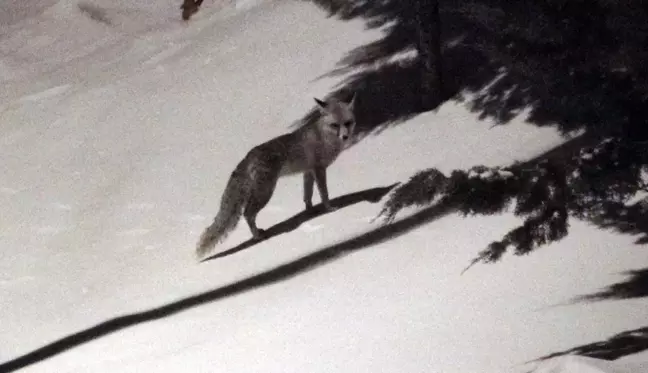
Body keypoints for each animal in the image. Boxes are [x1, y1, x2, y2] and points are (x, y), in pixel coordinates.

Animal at [195, 93, 356, 258]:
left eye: (348, 123)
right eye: (335, 125)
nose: (345, 136)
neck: (323, 136)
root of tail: (248, 157)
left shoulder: (308, 171)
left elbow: (308, 195)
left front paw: (310, 211)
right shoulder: (319, 169)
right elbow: (324, 193)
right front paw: (329, 208)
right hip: (265, 193)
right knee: (248, 213)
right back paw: (257, 235)